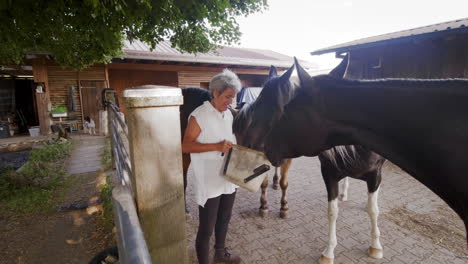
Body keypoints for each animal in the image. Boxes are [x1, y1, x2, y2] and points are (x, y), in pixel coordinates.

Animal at [266, 60, 468, 252]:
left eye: (287, 110)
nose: (267, 147)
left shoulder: (375, 175)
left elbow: (373, 210)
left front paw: (375, 246)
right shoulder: (329, 173)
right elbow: (332, 211)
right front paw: (329, 251)